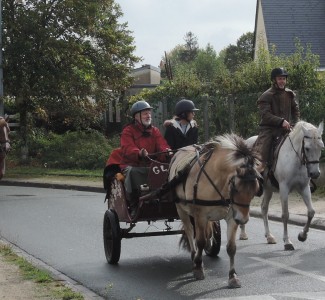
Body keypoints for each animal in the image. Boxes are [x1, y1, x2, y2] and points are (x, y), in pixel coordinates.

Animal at [168, 134, 260, 288]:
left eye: (256, 190)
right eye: (235, 188)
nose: (242, 219)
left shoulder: (232, 216)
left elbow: (231, 247)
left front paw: (232, 276)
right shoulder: (200, 215)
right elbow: (200, 241)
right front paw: (198, 267)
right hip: (181, 209)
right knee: (189, 231)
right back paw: (194, 256)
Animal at [239, 120, 322, 250]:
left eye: (321, 147)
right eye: (307, 148)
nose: (315, 173)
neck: (295, 159)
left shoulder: (304, 188)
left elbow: (311, 212)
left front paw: (302, 236)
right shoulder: (284, 188)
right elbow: (285, 214)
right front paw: (287, 241)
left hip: (268, 189)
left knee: (264, 208)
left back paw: (269, 236)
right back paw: (243, 233)